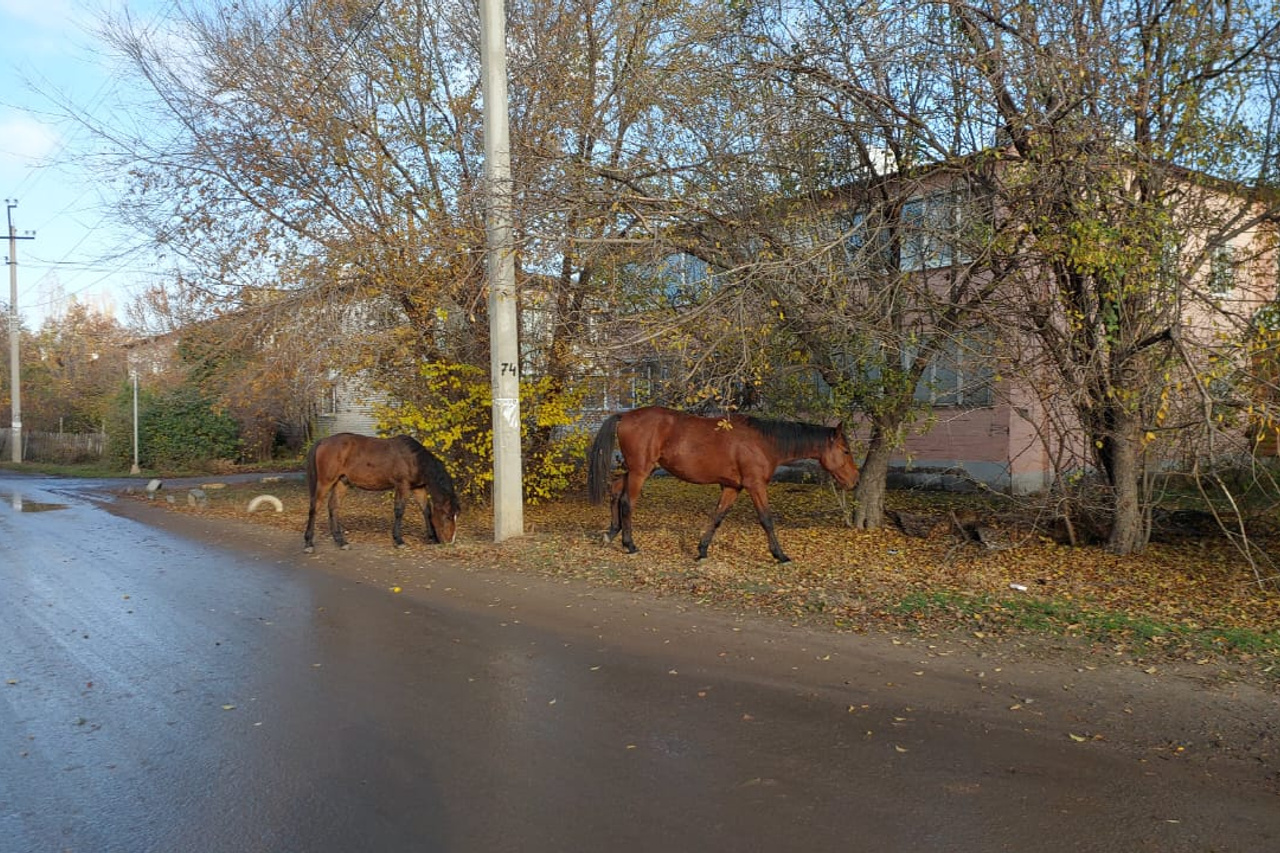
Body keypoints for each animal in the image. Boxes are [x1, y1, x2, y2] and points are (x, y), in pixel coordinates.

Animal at [302, 432, 458, 550]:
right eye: (448, 516)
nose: (450, 541)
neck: (414, 459)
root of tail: (323, 441)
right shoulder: (402, 485)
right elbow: (399, 511)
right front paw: (399, 540)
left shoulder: (418, 488)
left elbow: (426, 510)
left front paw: (432, 538)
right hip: (325, 482)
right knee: (314, 507)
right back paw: (309, 543)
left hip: (342, 482)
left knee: (333, 507)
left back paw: (341, 541)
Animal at [588, 404, 860, 558]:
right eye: (846, 451)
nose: (855, 481)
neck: (763, 442)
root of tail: (625, 416)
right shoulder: (755, 485)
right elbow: (766, 520)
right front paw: (780, 554)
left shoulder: (732, 487)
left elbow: (718, 517)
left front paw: (701, 550)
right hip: (640, 471)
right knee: (627, 502)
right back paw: (630, 545)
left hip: (641, 469)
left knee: (615, 490)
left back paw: (611, 533)